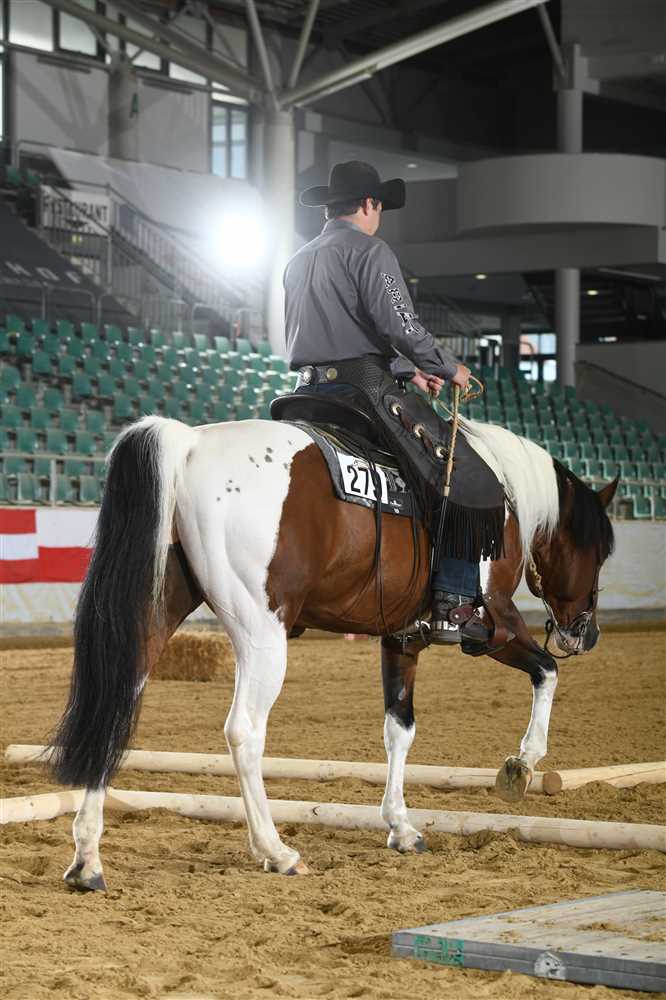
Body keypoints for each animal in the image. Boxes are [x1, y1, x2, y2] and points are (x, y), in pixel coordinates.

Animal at [51, 413, 617, 888]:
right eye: (600, 550)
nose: (584, 634)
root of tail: (191, 443)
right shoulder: (494, 623)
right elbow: (546, 672)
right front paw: (522, 763)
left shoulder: (402, 638)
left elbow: (399, 729)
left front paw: (401, 827)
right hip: (261, 633)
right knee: (244, 733)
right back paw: (277, 851)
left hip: (158, 611)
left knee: (114, 706)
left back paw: (87, 861)